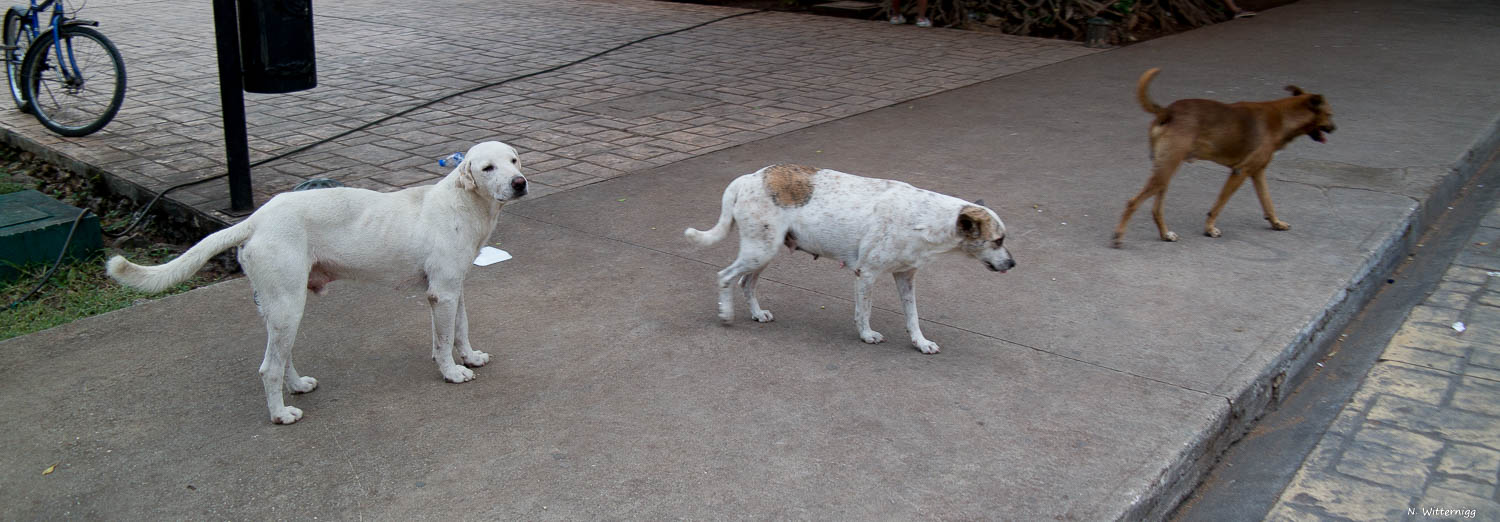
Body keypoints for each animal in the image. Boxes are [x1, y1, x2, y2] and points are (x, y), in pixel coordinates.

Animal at [107, 141, 528, 423]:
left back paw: (296, 386)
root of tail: (257, 219)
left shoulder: (454, 291)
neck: (464, 203)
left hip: (280, 309)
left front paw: (469, 357)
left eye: (514, 160)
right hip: (289, 306)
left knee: (282, 358)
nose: (520, 183)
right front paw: (451, 372)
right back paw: (281, 414)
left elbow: (461, 330)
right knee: (268, 368)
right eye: (488, 168)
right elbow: (442, 342)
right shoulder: (441, 294)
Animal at [684, 165, 1014, 352]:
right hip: (759, 251)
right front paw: (866, 336)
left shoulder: (906, 277)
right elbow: (863, 311)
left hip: (764, 252)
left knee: (746, 283)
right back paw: (726, 314)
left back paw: (756, 313)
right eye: (998, 240)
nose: (1012, 265)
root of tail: (747, 178)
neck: (925, 218)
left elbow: (913, 316)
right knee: (725, 277)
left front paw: (920, 342)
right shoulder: (866, 274)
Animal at [1116, 68, 1338, 247]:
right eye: (1330, 114)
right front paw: (1210, 228)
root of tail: (1167, 111)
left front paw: (1276, 223)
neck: (1283, 117)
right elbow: (1218, 205)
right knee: (1133, 202)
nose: (1335, 128)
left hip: (1165, 171)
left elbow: (1267, 202)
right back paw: (1118, 236)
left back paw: (1165, 234)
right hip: (1165, 171)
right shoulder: (1240, 172)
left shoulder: (1258, 172)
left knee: (1156, 209)